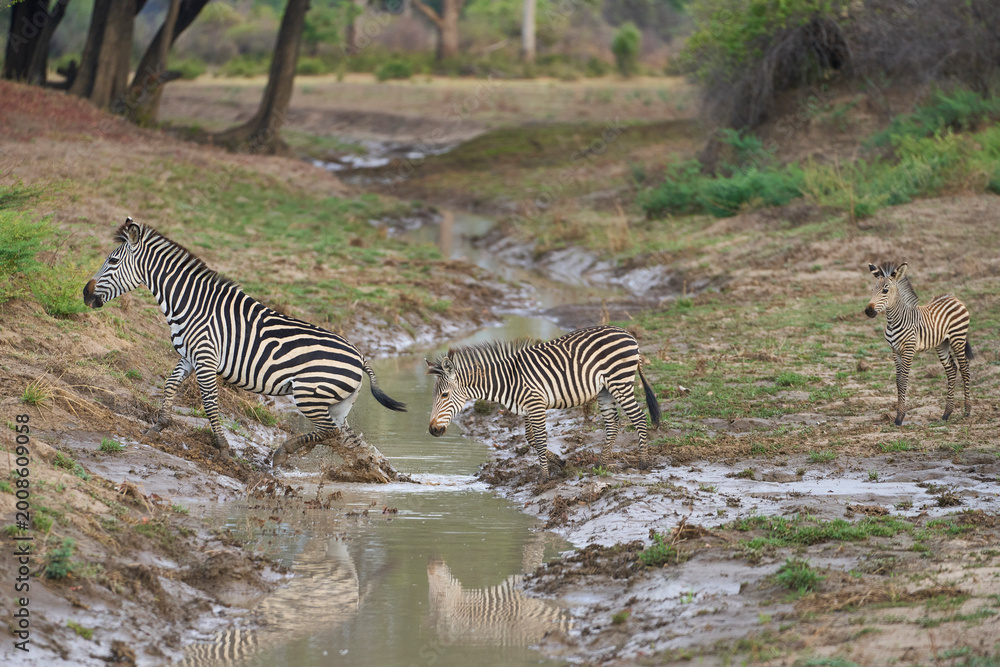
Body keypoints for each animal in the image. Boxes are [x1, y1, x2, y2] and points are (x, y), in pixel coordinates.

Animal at [82, 218, 406, 466]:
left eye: (112, 261)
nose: (85, 294)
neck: (192, 304)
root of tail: (360, 356)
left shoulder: (206, 358)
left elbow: (210, 404)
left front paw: (224, 449)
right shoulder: (189, 356)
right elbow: (169, 385)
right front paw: (158, 427)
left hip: (309, 395)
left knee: (330, 433)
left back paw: (283, 452)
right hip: (338, 404)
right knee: (347, 439)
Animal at [426, 325, 661, 475]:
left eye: (444, 395)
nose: (433, 430)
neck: (507, 380)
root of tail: (627, 333)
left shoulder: (536, 404)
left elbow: (539, 439)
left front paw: (544, 477)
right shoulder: (528, 407)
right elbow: (530, 439)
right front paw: (560, 462)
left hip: (620, 382)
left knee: (639, 417)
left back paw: (643, 462)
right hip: (605, 389)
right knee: (613, 423)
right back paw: (601, 465)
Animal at [865, 261, 972, 426]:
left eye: (885, 290)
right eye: (873, 289)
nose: (868, 311)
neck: (894, 321)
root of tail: (954, 298)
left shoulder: (908, 350)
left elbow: (903, 380)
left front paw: (899, 417)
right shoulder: (895, 351)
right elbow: (898, 381)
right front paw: (898, 415)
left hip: (958, 338)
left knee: (965, 369)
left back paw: (967, 411)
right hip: (942, 344)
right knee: (952, 370)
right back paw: (946, 413)